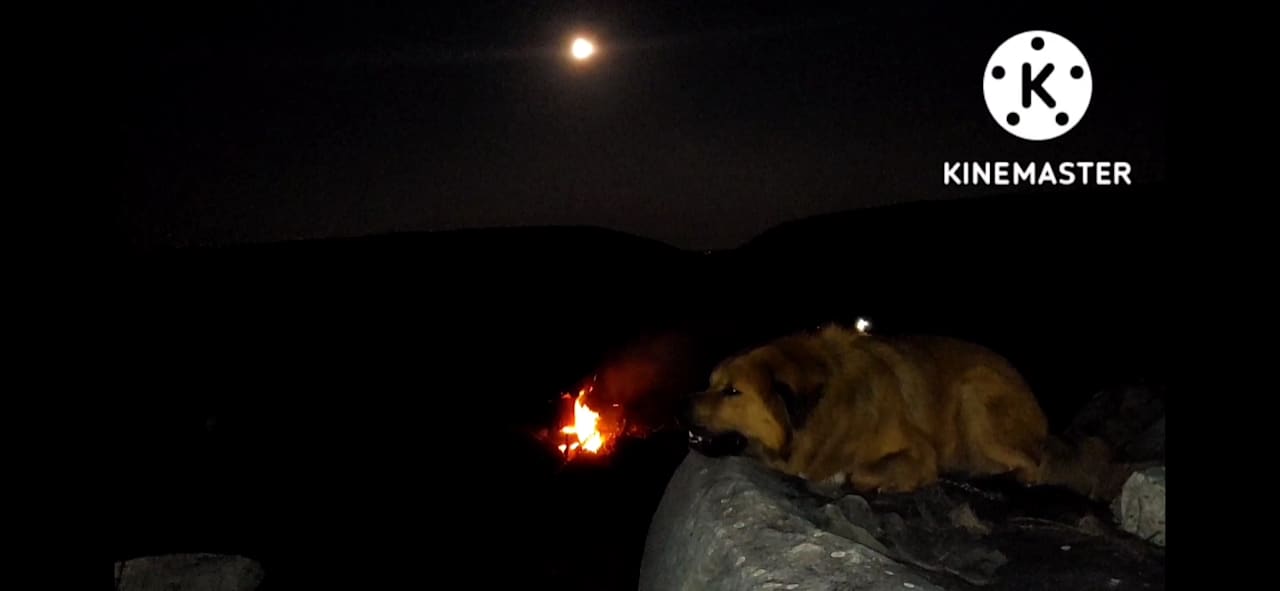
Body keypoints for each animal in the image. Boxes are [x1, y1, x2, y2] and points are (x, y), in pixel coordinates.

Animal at [686, 324, 1116, 501]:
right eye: (710, 383)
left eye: (733, 392)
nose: (680, 409)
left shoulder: (918, 453)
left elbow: (862, 471)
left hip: (973, 392)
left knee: (1033, 466)